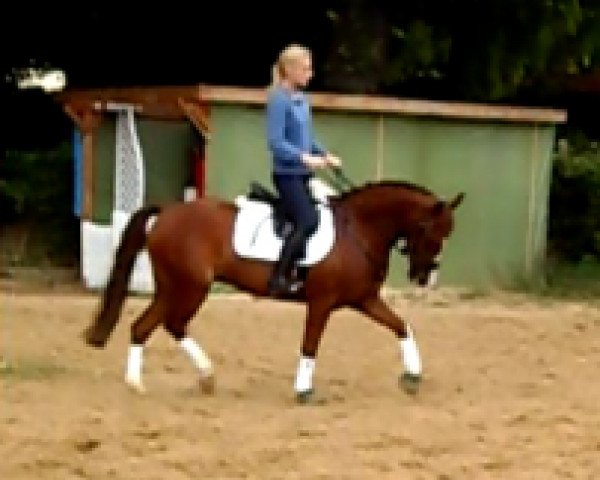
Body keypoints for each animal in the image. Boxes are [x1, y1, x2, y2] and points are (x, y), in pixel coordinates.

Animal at [83, 177, 464, 402]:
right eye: (431, 231)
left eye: (448, 235)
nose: (425, 277)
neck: (358, 230)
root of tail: (167, 213)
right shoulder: (322, 302)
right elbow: (310, 344)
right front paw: (304, 390)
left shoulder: (364, 299)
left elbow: (401, 326)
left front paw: (412, 376)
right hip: (190, 288)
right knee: (169, 324)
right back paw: (185, 377)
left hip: (173, 287)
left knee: (146, 326)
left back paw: (152, 382)